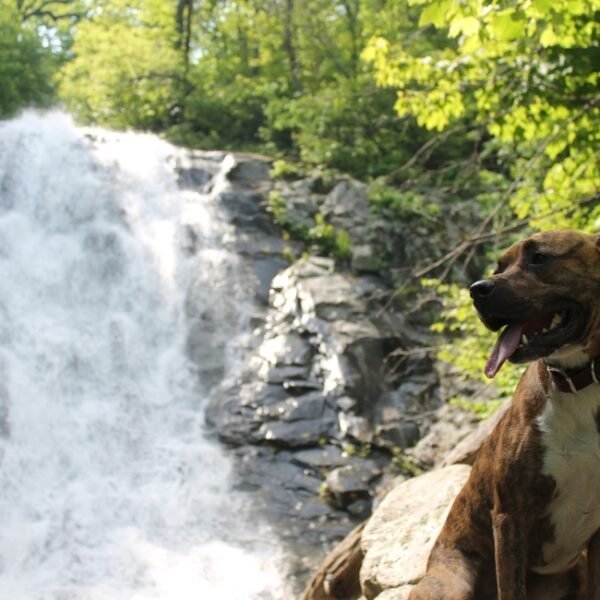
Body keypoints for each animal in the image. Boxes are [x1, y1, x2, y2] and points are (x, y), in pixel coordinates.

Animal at [410, 230, 600, 600]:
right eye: (499, 266)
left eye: (539, 257)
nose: (477, 289)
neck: (577, 384)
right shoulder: (510, 516)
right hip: (452, 584)